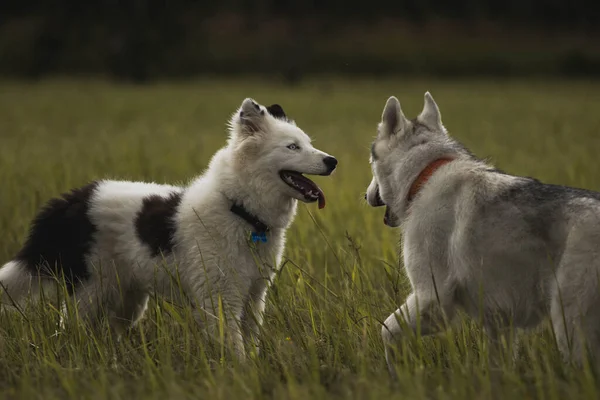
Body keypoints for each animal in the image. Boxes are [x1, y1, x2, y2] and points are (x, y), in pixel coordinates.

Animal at [0, 98, 338, 358]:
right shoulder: (220, 297)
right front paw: (240, 376)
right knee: (69, 332)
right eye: (292, 147)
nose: (333, 161)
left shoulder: (254, 295)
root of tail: (74, 200)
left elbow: (249, 342)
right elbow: (234, 348)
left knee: (107, 334)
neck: (239, 209)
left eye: (309, 144)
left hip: (126, 299)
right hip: (90, 291)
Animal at [368, 92, 600, 374]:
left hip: (571, 322)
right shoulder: (499, 321)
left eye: (370, 162)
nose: (366, 196)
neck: (425, 175)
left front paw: (397, 374)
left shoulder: (432, 298)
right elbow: (497, 367)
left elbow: (386, 332)